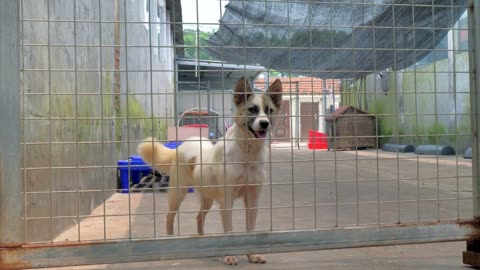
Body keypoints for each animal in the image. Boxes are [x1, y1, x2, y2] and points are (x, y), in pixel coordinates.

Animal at [137, 77, 282, 264]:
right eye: (252, 110)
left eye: (269, 110)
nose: (265, 124)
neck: (248, 153)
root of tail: (182, 145)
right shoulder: (227, 201)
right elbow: (229, 230)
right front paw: (230, 255)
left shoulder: (252, 200)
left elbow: (250, 230)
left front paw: (252, 254)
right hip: (177, 194)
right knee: (169, 217)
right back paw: (171, 241)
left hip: (208, 198)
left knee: (199, 217)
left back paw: (203, 241)